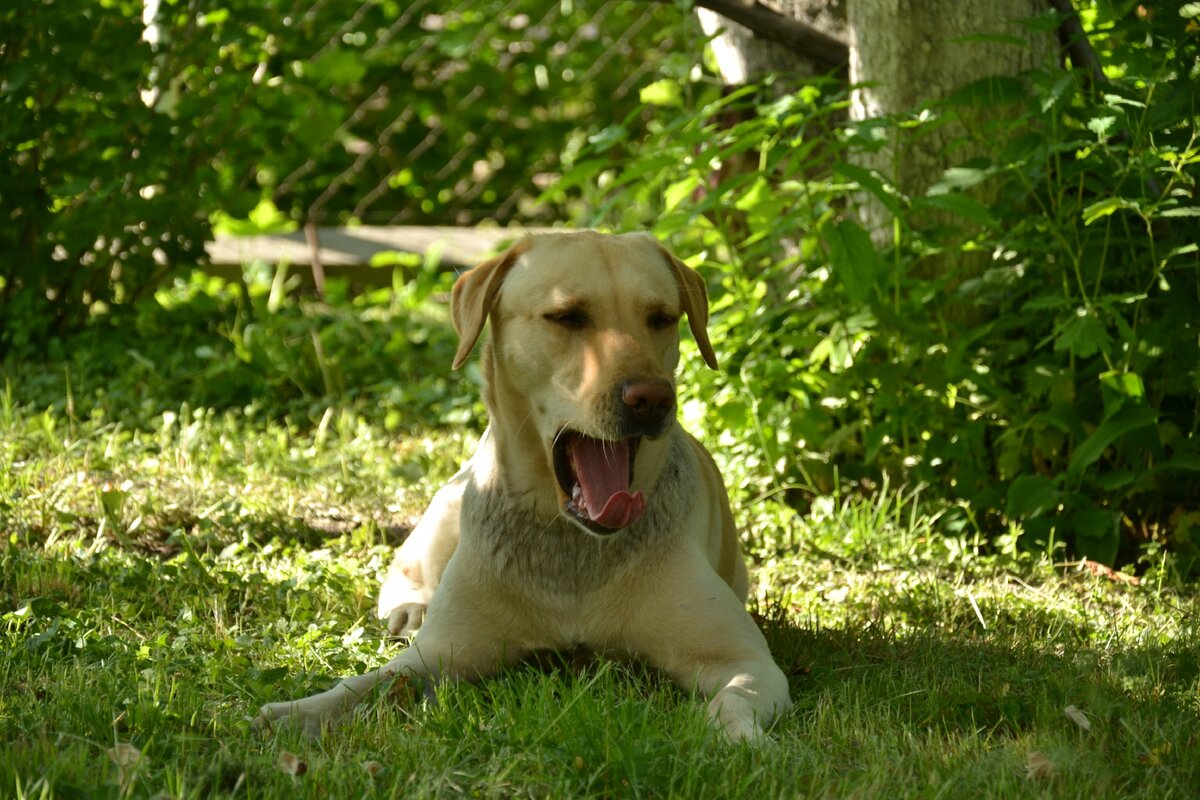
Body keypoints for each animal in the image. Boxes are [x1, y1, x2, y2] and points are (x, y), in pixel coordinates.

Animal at [255, 231, 787, 743]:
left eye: (661, 318)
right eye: (567, 317)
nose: (653, 399)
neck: (572, 543)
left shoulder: (745, 660)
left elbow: (734, 700)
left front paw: (732, 738)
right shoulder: (438, 655)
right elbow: (365, 684)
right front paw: (296, 712)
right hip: (449, 505)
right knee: (404, 568)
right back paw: (409, 609)